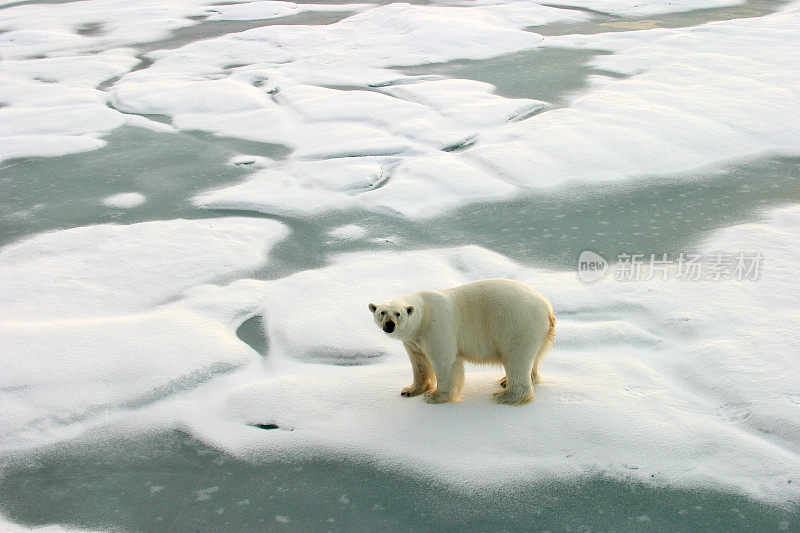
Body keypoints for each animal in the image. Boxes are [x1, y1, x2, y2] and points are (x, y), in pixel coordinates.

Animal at [368, 278, 552, 404]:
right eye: (382, 312)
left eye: (398, 313)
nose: (389, 325)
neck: (423, 315)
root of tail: (547, 307)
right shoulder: (413, 340)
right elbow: (418, 362)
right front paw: (410, 390)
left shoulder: (437, 326)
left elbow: (444, 360)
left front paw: (435, 396)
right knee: (534, 359)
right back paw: (508, 381)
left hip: (517, 325)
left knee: (516, 358)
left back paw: (505, 395)